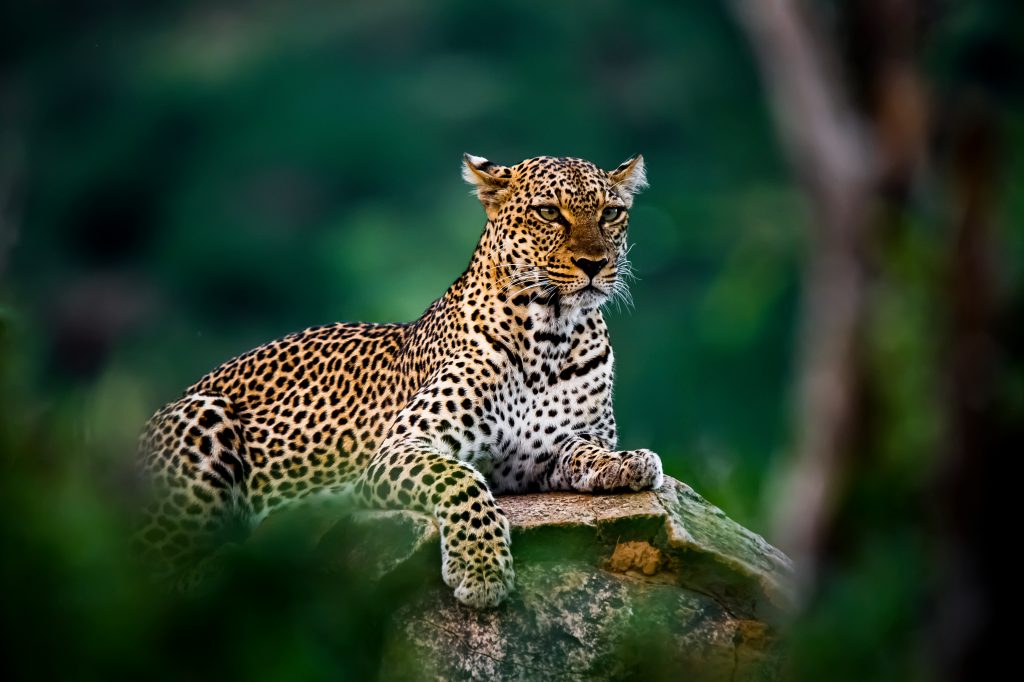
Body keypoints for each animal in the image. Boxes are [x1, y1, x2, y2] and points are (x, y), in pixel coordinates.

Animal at [136, 152, 663, 606]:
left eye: (611, 213)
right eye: (549, 213)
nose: (594, 265)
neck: (550, 336)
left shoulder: (549, 454)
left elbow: (586, 451)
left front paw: (630, 463)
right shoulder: (402, 447)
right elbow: (461, 480)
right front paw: (481, 567)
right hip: (204, 412)